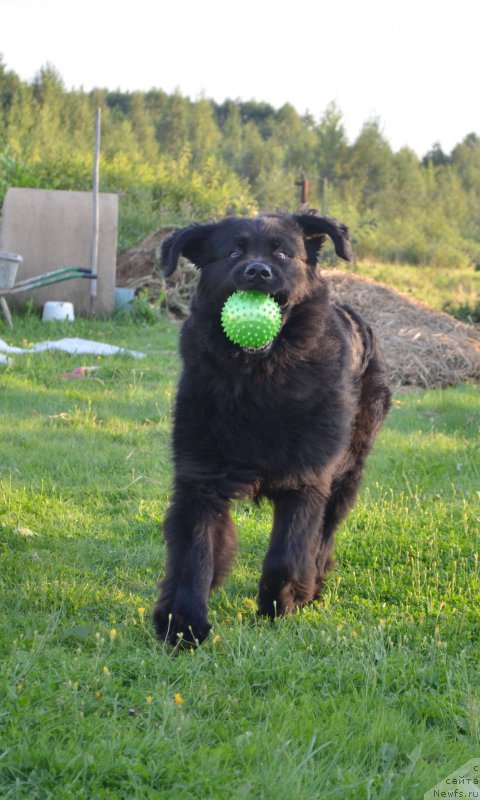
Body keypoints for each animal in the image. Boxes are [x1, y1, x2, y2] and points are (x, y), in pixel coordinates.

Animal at [153, 211, 390, 644]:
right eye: (232, 253)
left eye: (282, 253)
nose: (258, 271)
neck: (259, 379)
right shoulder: (200, 476)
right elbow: (194, 554)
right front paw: (182, 624)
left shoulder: (308, 477)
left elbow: (286, 553)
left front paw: (280, 605)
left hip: (347, 473)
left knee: (324, 535)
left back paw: (313, 586)